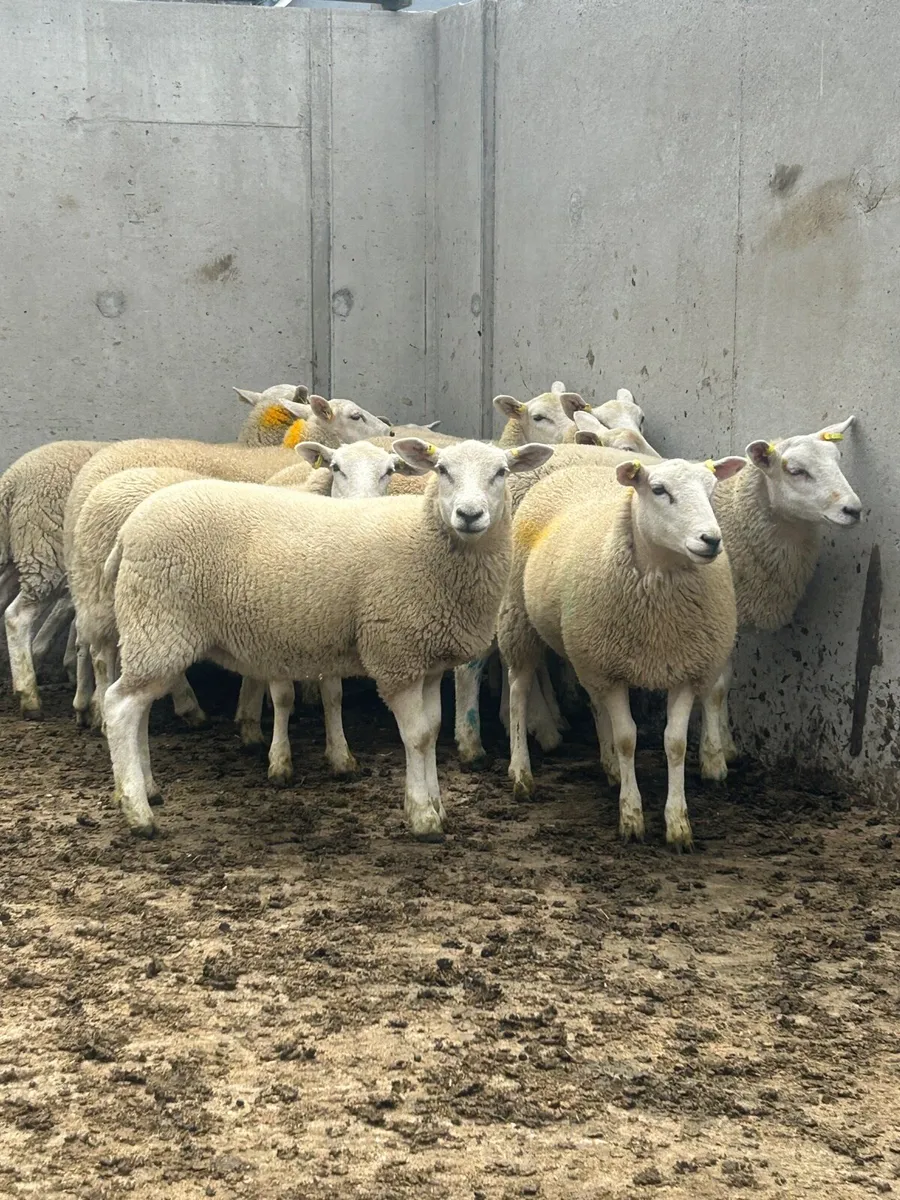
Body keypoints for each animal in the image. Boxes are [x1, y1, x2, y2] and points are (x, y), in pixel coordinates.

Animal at [102, 438, 553, 839]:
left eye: (501, 472)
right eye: (442, 470)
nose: (469, 514)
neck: (428, 544)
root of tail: (128, 531)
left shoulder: (426, 660)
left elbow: (432, 730)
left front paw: (435, 807)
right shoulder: (395, 654)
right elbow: (418, 736)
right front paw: (424, 817)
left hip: (152, 632)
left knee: (138, 709)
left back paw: (148, 790)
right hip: (159, 625)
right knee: (119, 707)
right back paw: (138, 813)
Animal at [498, 452, 745, 849]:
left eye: (711, 490)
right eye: (658, 490)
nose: (710, 540)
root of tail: (573, 469)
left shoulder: (683, 669)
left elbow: (675, 743)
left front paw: (678, 824)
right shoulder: (612, 672)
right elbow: (628, 737)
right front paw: (631, 817)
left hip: (585, 649)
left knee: (594, 701)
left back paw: (610, 767)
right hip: (519, 617)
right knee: (519, 690)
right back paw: (521, 773)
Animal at [698, 417, 861, 779]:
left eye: (838, 460)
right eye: (796, 471)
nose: (853, 510)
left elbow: (726, 682)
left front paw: (726, 746)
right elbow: (714, 688)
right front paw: (713, 760)